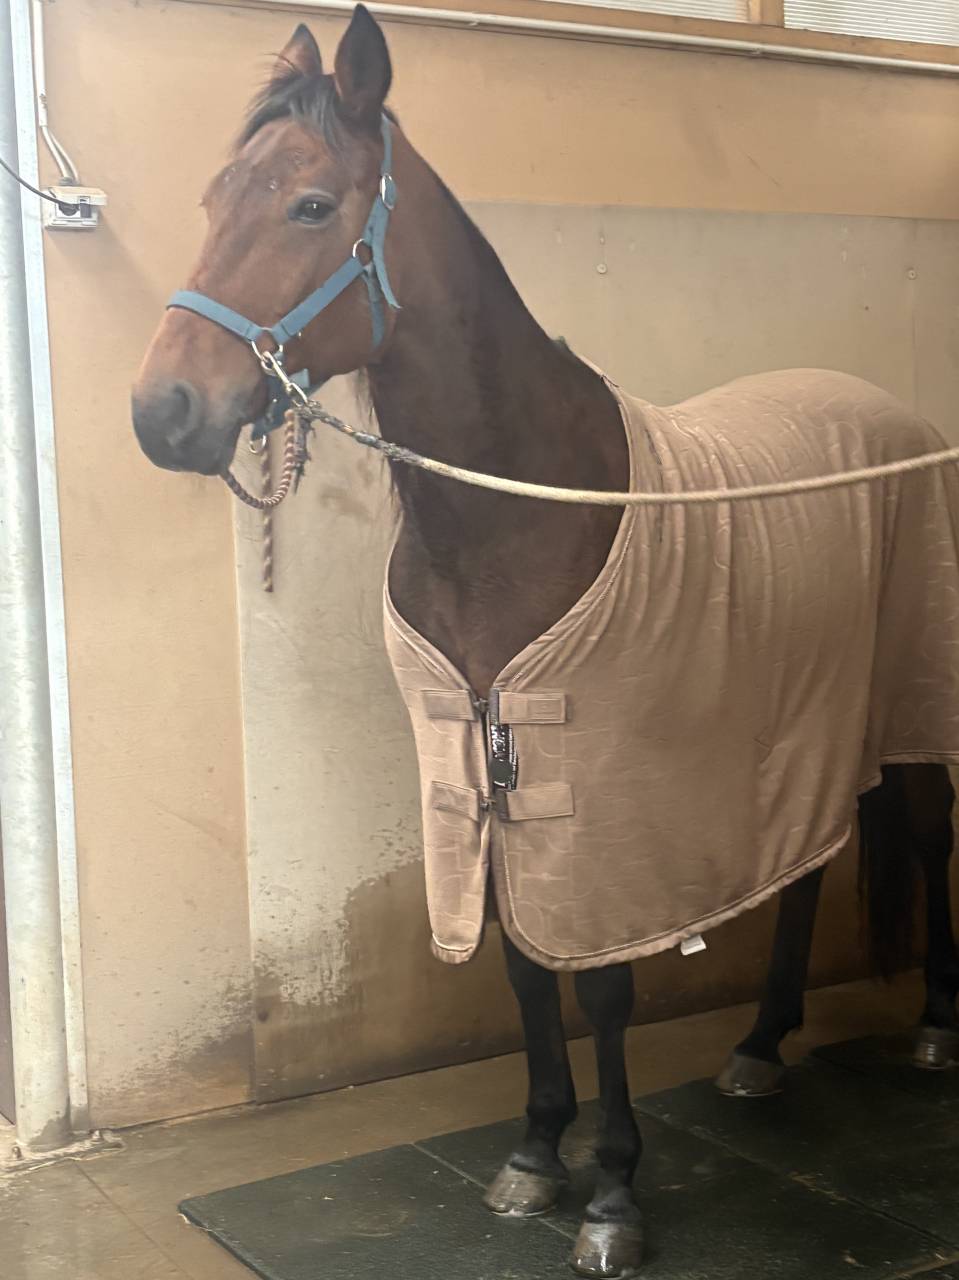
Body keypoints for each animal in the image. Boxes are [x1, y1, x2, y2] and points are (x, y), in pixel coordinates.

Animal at [132, 10, 959, 1276]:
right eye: (215, 197)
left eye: (311, 205)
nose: (161, 411)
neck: (518, 509)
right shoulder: (479, 766)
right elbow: (522, 963)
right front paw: (532, 1152)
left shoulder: (592, 788)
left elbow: (600, 984)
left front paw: (612, 1192)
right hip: (800, 722)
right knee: (809, 865)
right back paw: (760, 1045)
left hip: (908, 696)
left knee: (925, 830)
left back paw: (932, 1028)